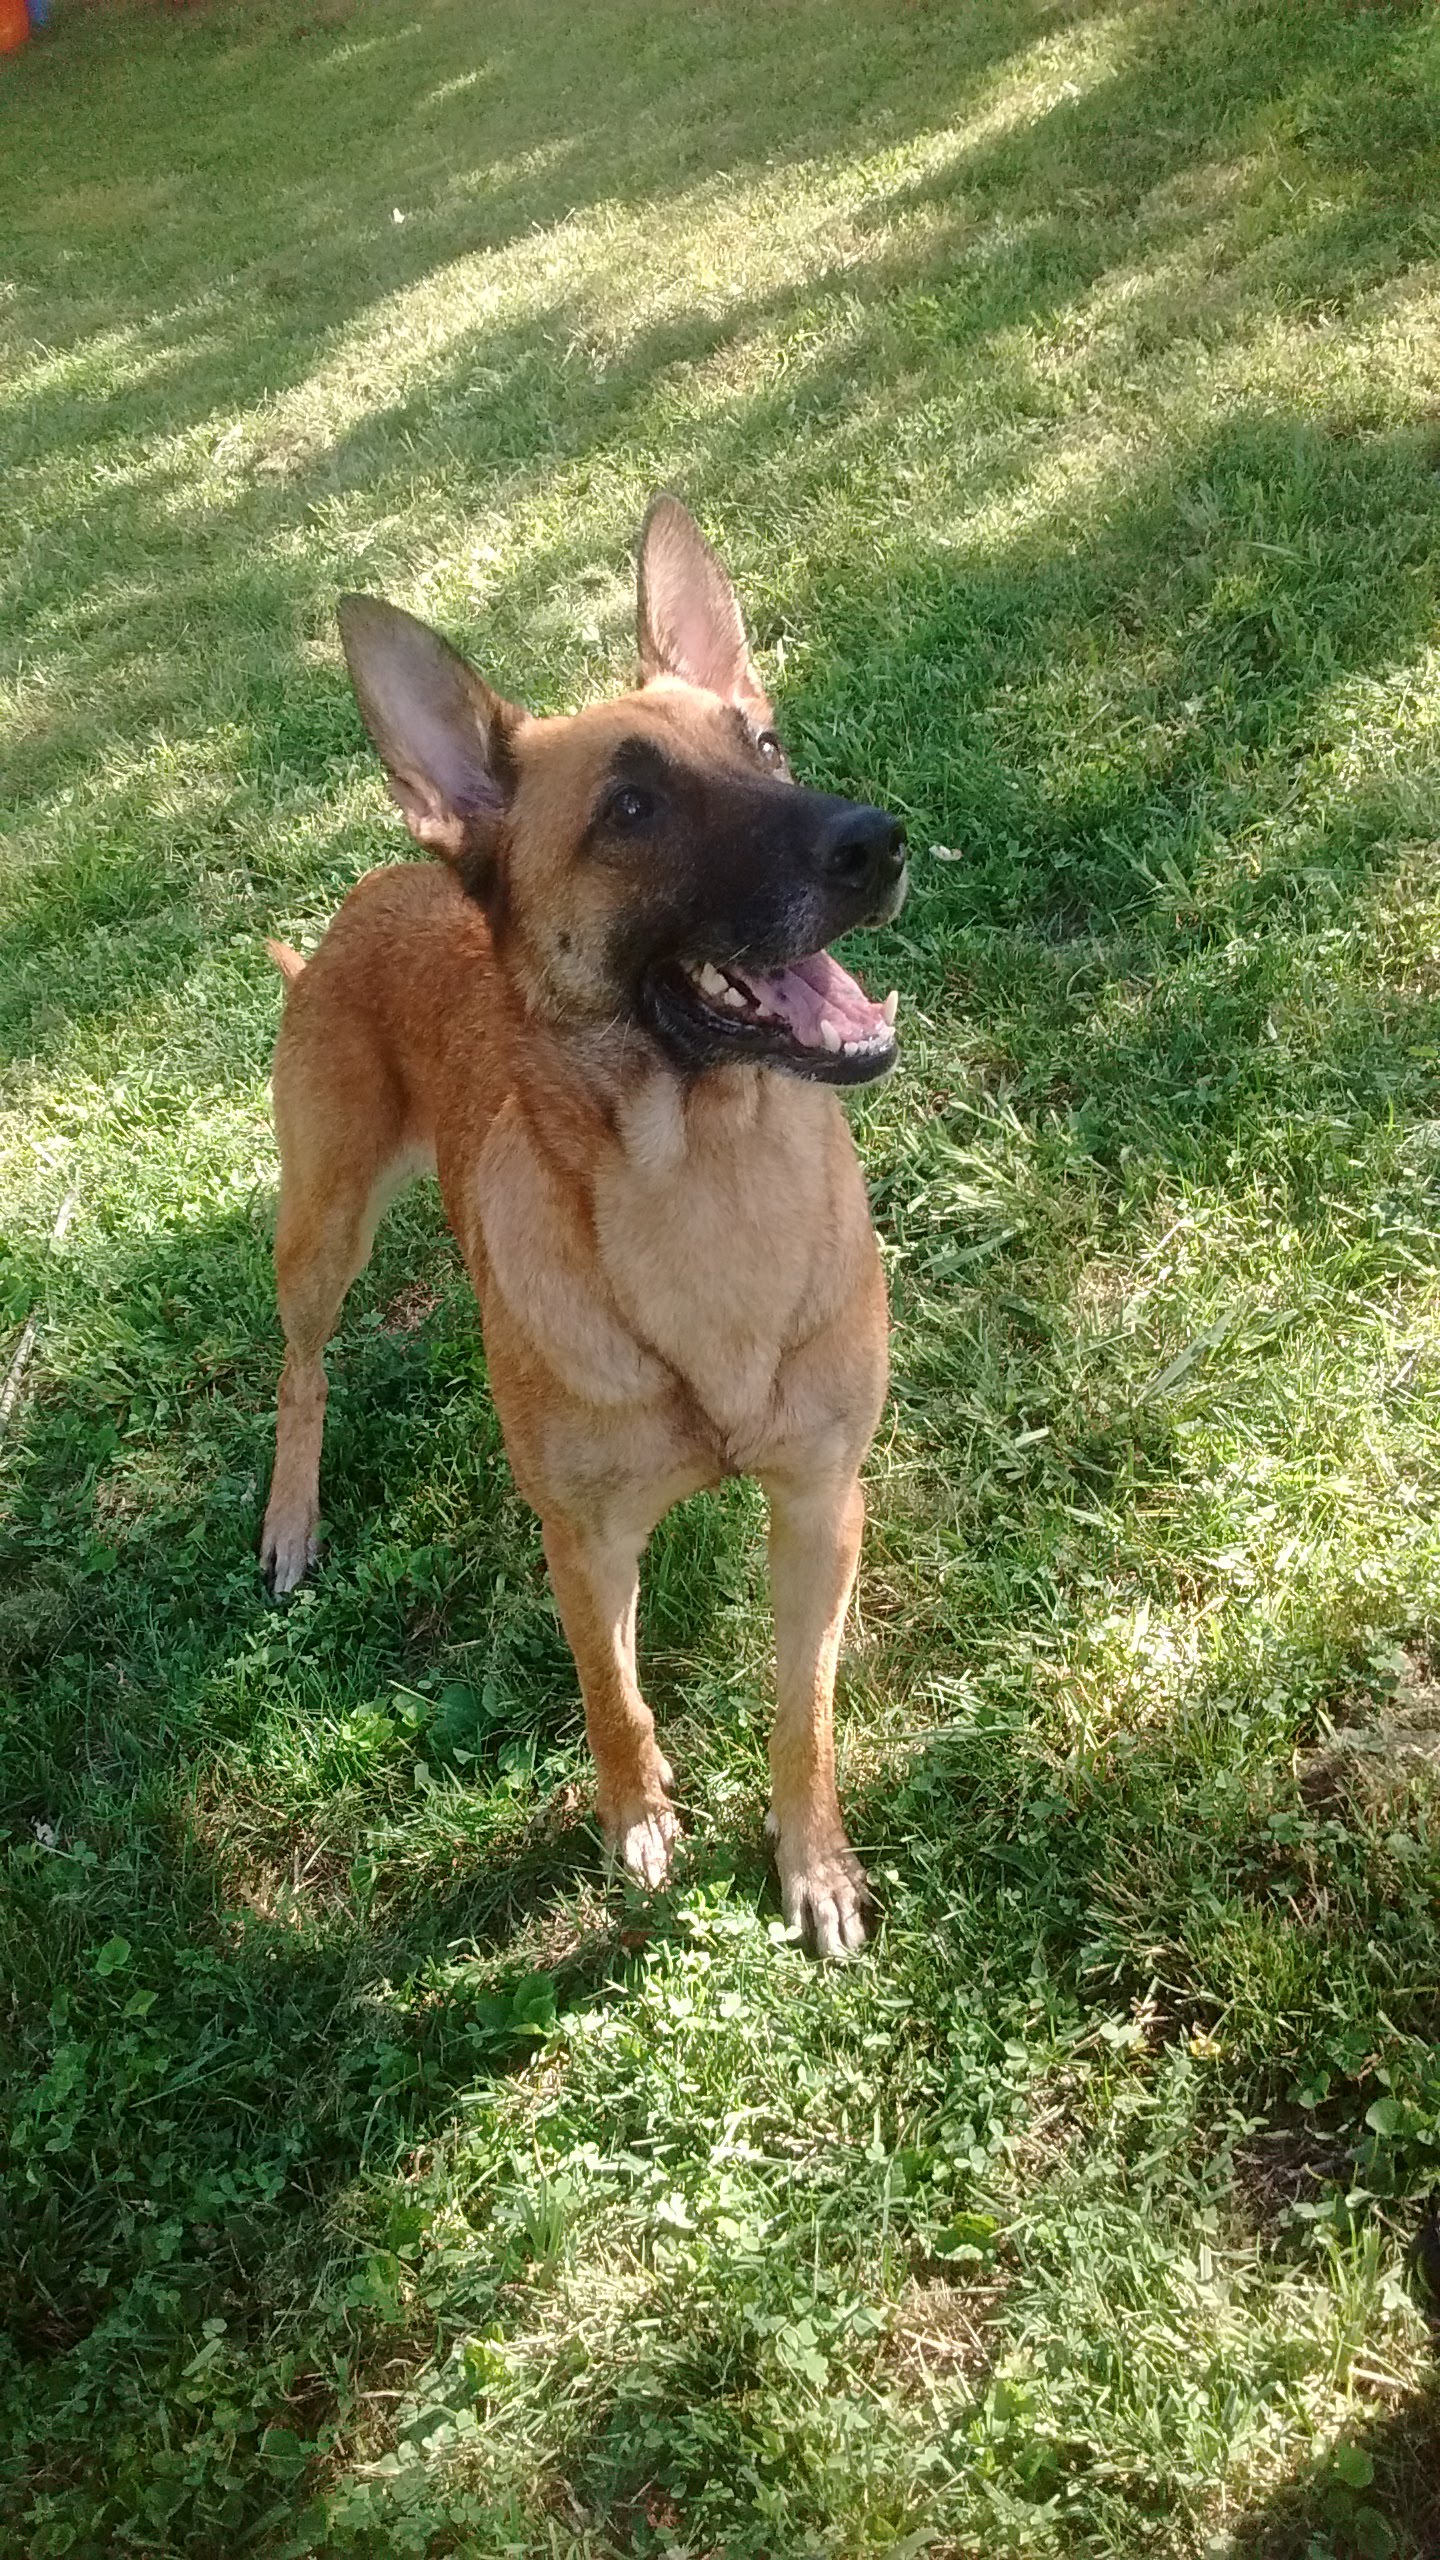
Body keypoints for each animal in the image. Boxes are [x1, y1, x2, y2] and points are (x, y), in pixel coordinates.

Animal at [260, 494, 896, 1955]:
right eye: (632, 805)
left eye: (761, 743)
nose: (878, 840)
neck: (704, 1181)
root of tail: (379, 886)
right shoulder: (589, 1546)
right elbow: (616, 1697)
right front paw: (637, 1815)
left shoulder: (819, 1506)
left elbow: (804, 1713)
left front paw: (814, 1862)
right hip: (320, 1231)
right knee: (302, 1368)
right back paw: (289, 1515)